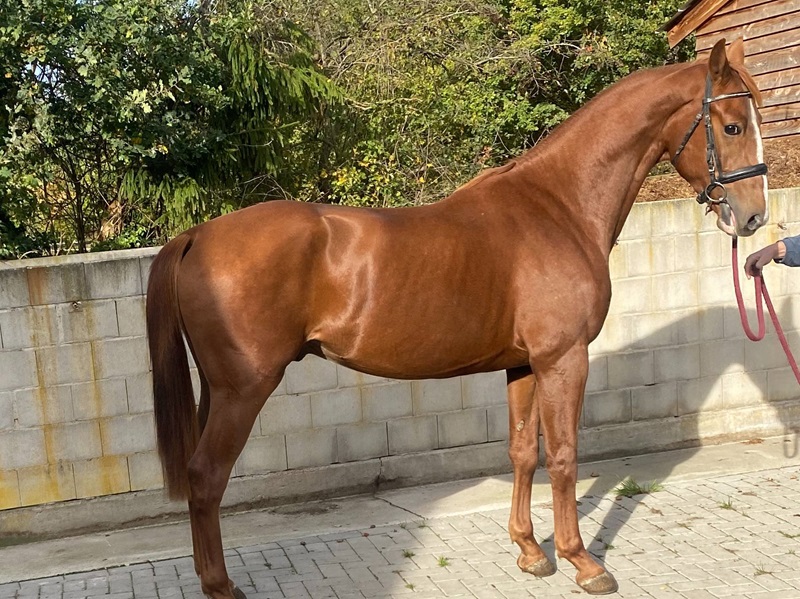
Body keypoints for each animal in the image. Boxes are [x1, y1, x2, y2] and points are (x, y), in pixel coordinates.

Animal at [145, 38, 768, 597]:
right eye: (733, 126)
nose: (753, 217)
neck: (558, 208)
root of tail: (196, 235)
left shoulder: (524, 365)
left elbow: (524, 451)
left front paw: (530, 551)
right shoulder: (563, 358)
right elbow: (565, 456)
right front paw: (583, 563)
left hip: (218, 389)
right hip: (243, 389)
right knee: (207, 476)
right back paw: (221, 586)